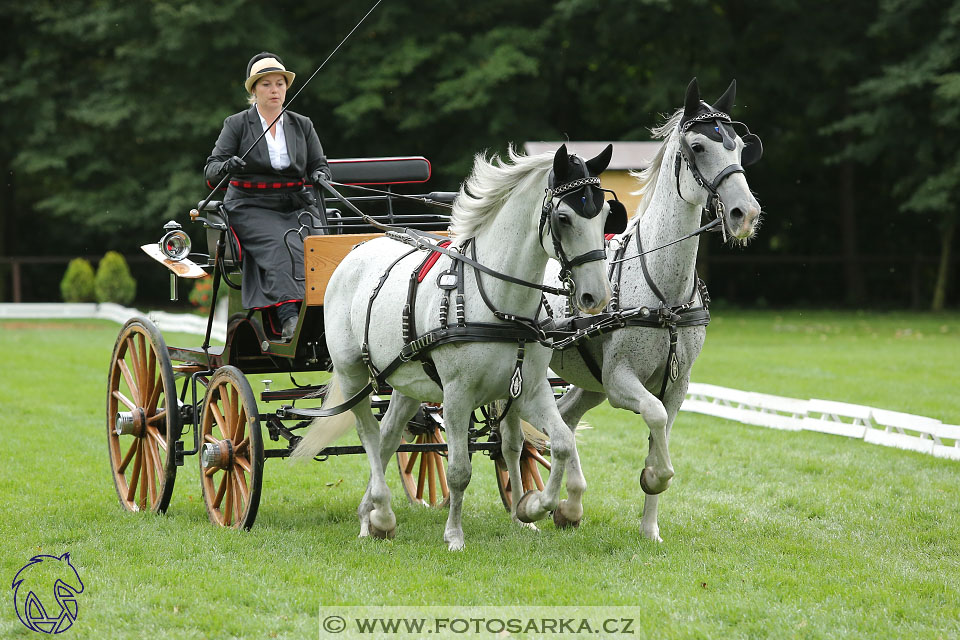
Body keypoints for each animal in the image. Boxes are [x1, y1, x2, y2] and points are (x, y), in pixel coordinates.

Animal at [292, 145, 616, 552]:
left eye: (605, 214)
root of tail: (357, 248)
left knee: (388, 437)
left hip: (407, 381)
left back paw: (370, 515)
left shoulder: (530, 389)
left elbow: (557, 443)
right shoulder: (457, 395)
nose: (595, 296)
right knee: (368, 434)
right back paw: (381, 513)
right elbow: (459, 470)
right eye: (563, 217)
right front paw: (455, 535)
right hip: (353, 374)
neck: (499, 303)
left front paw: (532, 508)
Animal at [548, 79, 764, 540]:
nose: (746, 213)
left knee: (563, 418)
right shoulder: (620, 380)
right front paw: (654, 476)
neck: (666, 296)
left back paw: (567, 505)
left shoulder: (676, 385)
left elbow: (660, 429)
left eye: (739, 147)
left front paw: (650, 528)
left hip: (588, 382)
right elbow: (654, 416)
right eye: (698, 146)